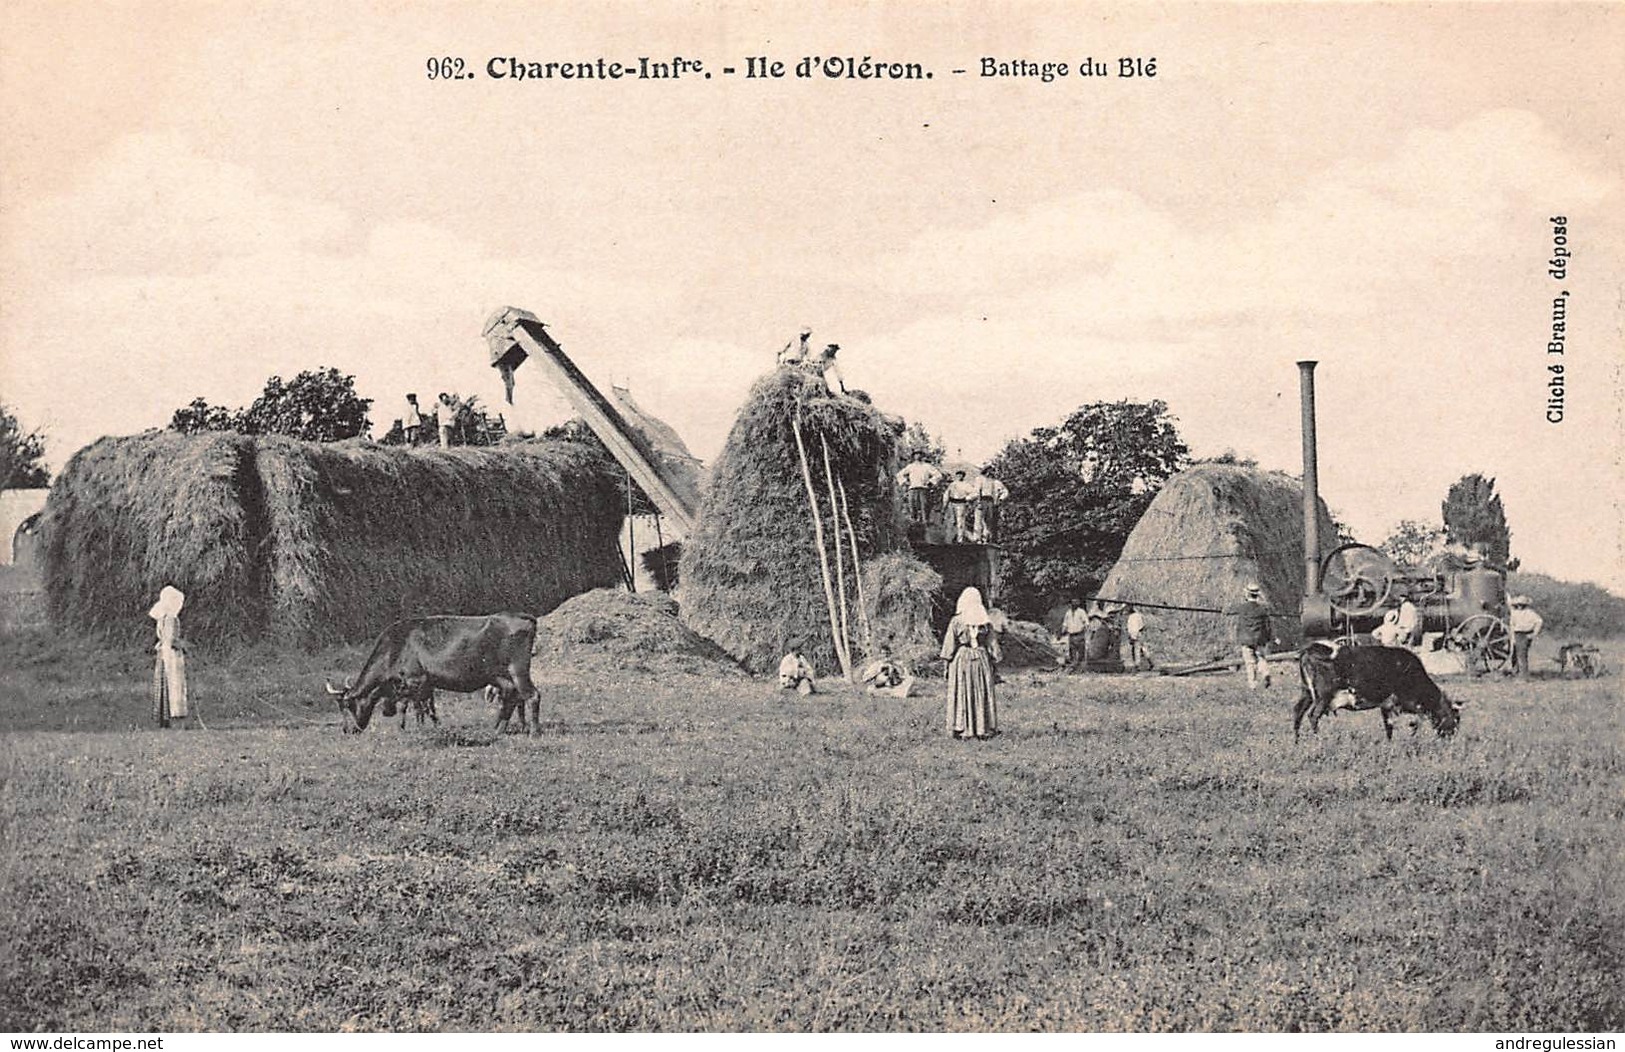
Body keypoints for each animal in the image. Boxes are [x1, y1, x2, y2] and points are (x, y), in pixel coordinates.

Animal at [326, 614, 542, 738]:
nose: (348, 730)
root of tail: (525, 617)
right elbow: (428, 707)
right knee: (511, 697)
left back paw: (533, 732)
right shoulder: (425, 684)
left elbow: (416, 707)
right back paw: (498, 730)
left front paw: (419, 729)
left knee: (532, 695)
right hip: (501, 676)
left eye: (348, 705)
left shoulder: (415, 680)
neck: (395, 647)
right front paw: (432, 726)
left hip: (517, 670)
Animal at [1293, 640, 1462, 741]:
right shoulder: (1403, 702)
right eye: (1455, 720)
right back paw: (1318, 739)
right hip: (1323, 696)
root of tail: (1312, 647)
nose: (1450, 740)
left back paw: (1297, 741)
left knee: (1298, 711)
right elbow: (1416, 720)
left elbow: (1389, 726)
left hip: (1306, 693)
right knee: (1313, 715)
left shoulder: (1386, 705)